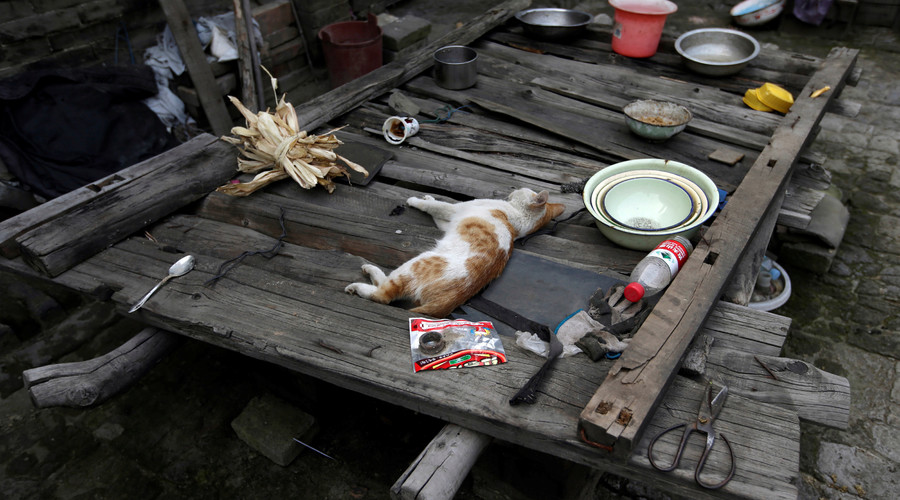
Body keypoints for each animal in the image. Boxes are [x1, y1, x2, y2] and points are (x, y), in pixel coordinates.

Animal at [344, 188, 564, 316]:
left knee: (384, 295)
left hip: (416, 263)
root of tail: (449, 301)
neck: (518, 221)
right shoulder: (448, 221)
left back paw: (360, 283)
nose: (514, 187)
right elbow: (435, 209)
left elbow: (433, 206)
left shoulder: (454, 210)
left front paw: (415, 199)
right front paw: (428, 195)